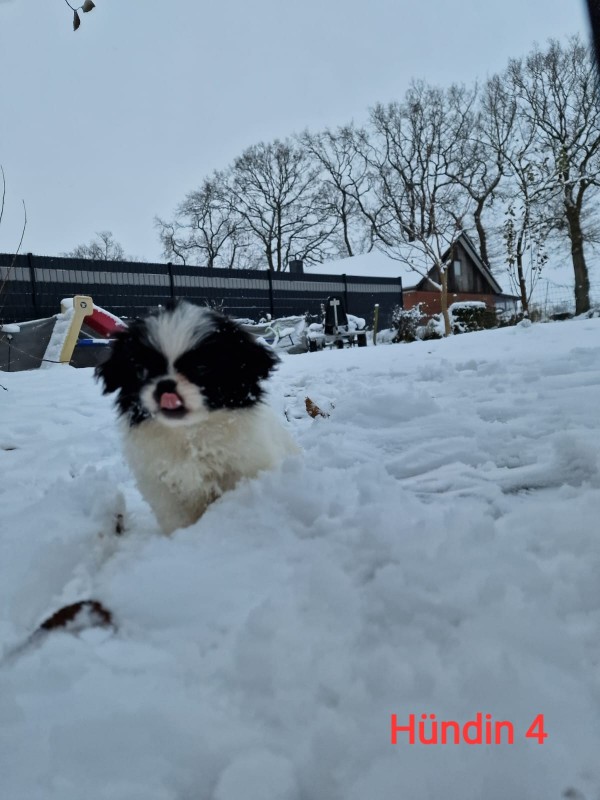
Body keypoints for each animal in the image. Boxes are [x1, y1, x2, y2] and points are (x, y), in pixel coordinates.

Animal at [95, 304, 298, 536]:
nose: (165, 385)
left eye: (201, 368)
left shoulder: (246, 468)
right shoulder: (161, 486)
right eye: (142, 370)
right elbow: (175, 518)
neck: (189, 434)